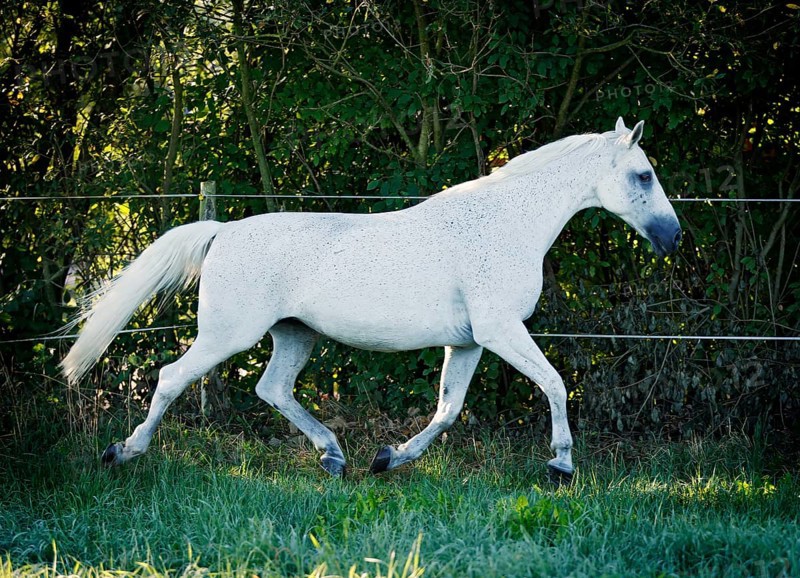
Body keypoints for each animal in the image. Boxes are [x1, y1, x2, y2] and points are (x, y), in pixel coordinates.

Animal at [61, 117, 681, 482]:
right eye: (644, 175)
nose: (673, 237)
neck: (505, 224)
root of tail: (222, 232)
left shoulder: (471, 342)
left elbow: (448, 409)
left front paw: (389, 458)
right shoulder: (501, 330)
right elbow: (553, 383)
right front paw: (561, 465)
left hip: (294, 334)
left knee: (272, 389)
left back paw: (335, 457)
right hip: (226, 334)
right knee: (172, 378)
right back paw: (123, 452)